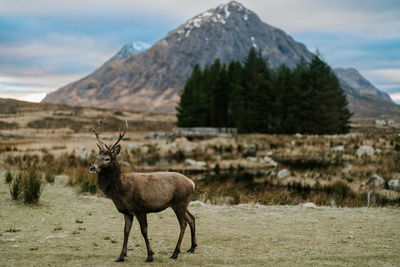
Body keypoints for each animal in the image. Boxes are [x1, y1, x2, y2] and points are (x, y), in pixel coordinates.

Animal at [90, 123, 198, 264]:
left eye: (107, 158)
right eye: (96, 157)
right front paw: (121, 256)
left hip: (179, 202)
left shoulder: (140, 209)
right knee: (192, 218)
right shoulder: (127, 212)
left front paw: (150, 256)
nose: (92, 167)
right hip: (181, 204)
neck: (121, 191)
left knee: (183, 224)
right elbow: (126, 232)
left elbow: (144, 231)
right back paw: (192, 247)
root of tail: (192, 183)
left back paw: (175, 253)